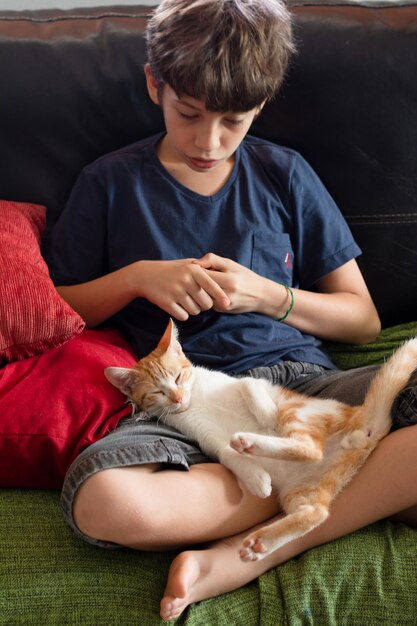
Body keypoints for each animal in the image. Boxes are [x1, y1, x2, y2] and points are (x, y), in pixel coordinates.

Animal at [104, 320, 416, 560]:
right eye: (158, 392)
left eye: (179, 376)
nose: (179, 398)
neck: (197, 399)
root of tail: (362, 424)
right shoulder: (202, 434)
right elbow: (226, 453)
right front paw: (255, 478)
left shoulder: (246, 382)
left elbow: (248, 383)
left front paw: (265, 415)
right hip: (302, 489)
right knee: (314, 508)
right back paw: (261, 539)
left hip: (296, 410)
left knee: (308, 447)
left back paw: (256, 438)